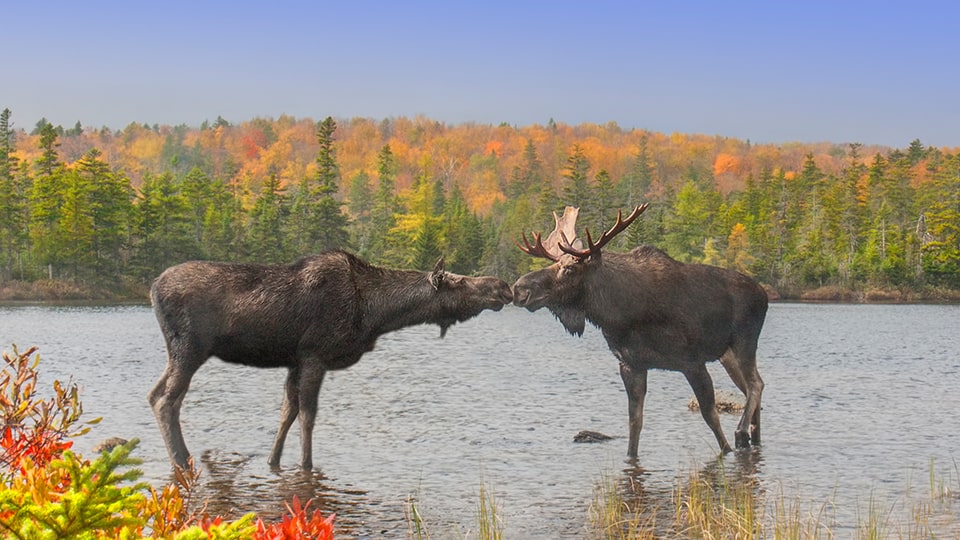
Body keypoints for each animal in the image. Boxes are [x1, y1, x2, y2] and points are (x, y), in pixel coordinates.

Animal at [148, 251, 516, 470]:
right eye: (459, 281)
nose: (503, 287)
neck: (376, 313)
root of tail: (152, 288)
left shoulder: (295, 361)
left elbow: (287, 413)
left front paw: (273, 461)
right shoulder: (315, 356)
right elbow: (308, 416)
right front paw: (307, 465)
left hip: (178, 353)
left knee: (155, 395)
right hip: (190, 348)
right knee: (167, 401)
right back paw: (182, 460)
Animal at [512, 206, 768, 456]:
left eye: (570, 269)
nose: (519, 289)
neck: (621, 314)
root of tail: (764, 294)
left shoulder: (692, 362)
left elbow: (711, 417)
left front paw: (727, 448)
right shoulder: (631, 365)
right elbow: (635, 423)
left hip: (745, 341)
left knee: (756, 384)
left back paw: (741, 432)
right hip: (726, 355)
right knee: (751, 387)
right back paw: (753, 436)